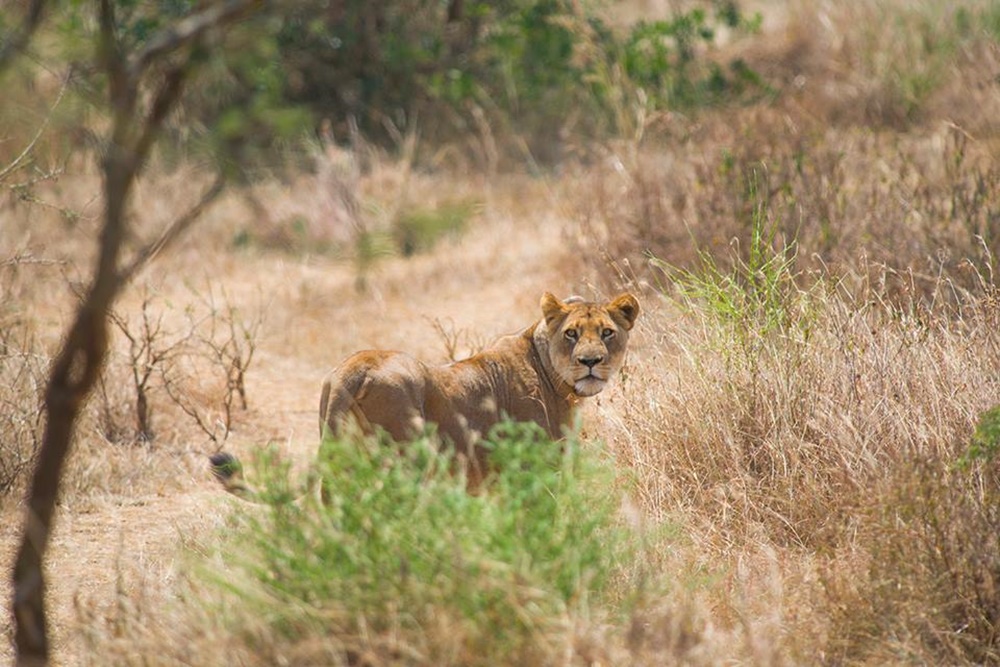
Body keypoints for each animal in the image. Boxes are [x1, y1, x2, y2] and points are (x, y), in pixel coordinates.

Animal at [211, 291, 639, 495]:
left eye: (607, 332)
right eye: (571, 334)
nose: (590, 362)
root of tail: (356, 367)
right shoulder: (533, 469)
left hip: (339, 457)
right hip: (410, 457)